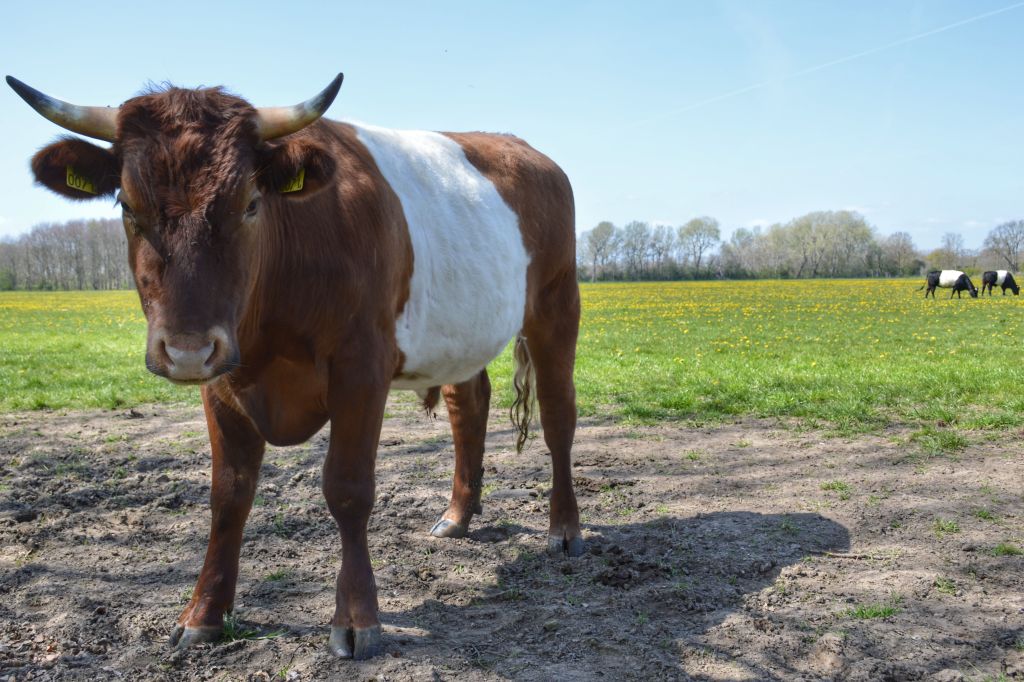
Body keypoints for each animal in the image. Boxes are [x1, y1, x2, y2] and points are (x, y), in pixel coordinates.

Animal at [7, 73, 584, 660]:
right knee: (468, 407)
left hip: (557, 304)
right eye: (126, 203)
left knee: (558, 416)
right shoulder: (222, 379)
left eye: (250, 203)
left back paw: (564, 529)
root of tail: (525, 149)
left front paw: (356, 619)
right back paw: (457, 516)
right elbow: (228, 494)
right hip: (461, 332)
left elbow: (348, 488)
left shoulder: (361, 367)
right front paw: (203, 614)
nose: (187, 349)